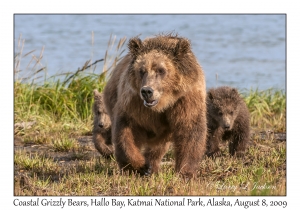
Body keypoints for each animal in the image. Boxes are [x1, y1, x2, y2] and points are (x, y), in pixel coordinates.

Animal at [103, 34, 206, 177]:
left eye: (161, 70)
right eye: (142, 70)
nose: (147, 91)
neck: (161, 104)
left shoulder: (185, 100)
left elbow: (190, 130)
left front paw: (185, 172)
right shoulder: (133, 102)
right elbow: (126, 132)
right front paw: (139, 166)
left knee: (158, 147)